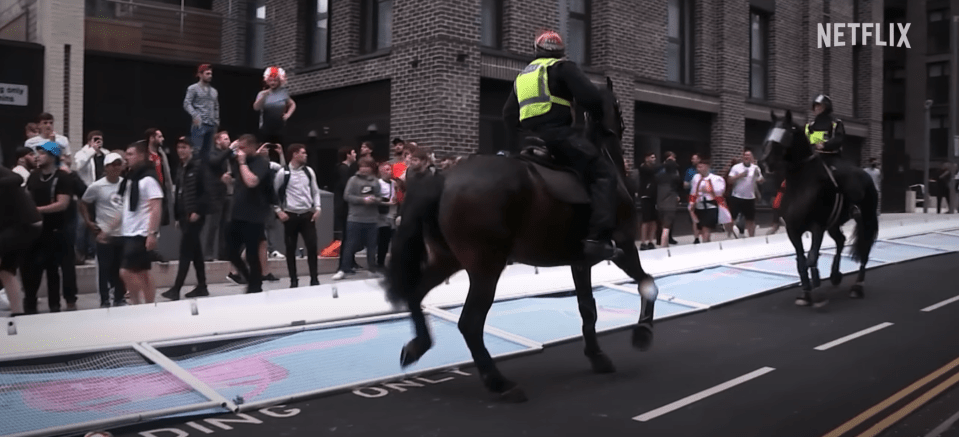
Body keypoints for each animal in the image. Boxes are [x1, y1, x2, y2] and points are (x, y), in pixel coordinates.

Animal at [382, 77, 660, 402]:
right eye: (617, 106)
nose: (621, 130)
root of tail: (445, 177)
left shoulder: (580, 262)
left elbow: (587, 308)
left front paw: (597, 356)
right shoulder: (625, 246)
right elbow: (647, 283)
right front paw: (642, 333)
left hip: (446, 259)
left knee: (415, 294)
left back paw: (417, 347)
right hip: (486, 267)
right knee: (470, 323)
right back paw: (499, 382)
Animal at [760, 110, 880, 304]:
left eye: (787, 133)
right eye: (770, 131)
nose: (764, 162)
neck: (801, 185)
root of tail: (868, 176)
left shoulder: (817, 227)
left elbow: (811, 258)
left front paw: (815, 286)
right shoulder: (793, 230)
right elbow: (801, 261)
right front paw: (805, 293)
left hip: (866, 218)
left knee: (865, 247)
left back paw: (857, 287)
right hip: (834, 224)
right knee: (841, 240)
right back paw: (835, 275)